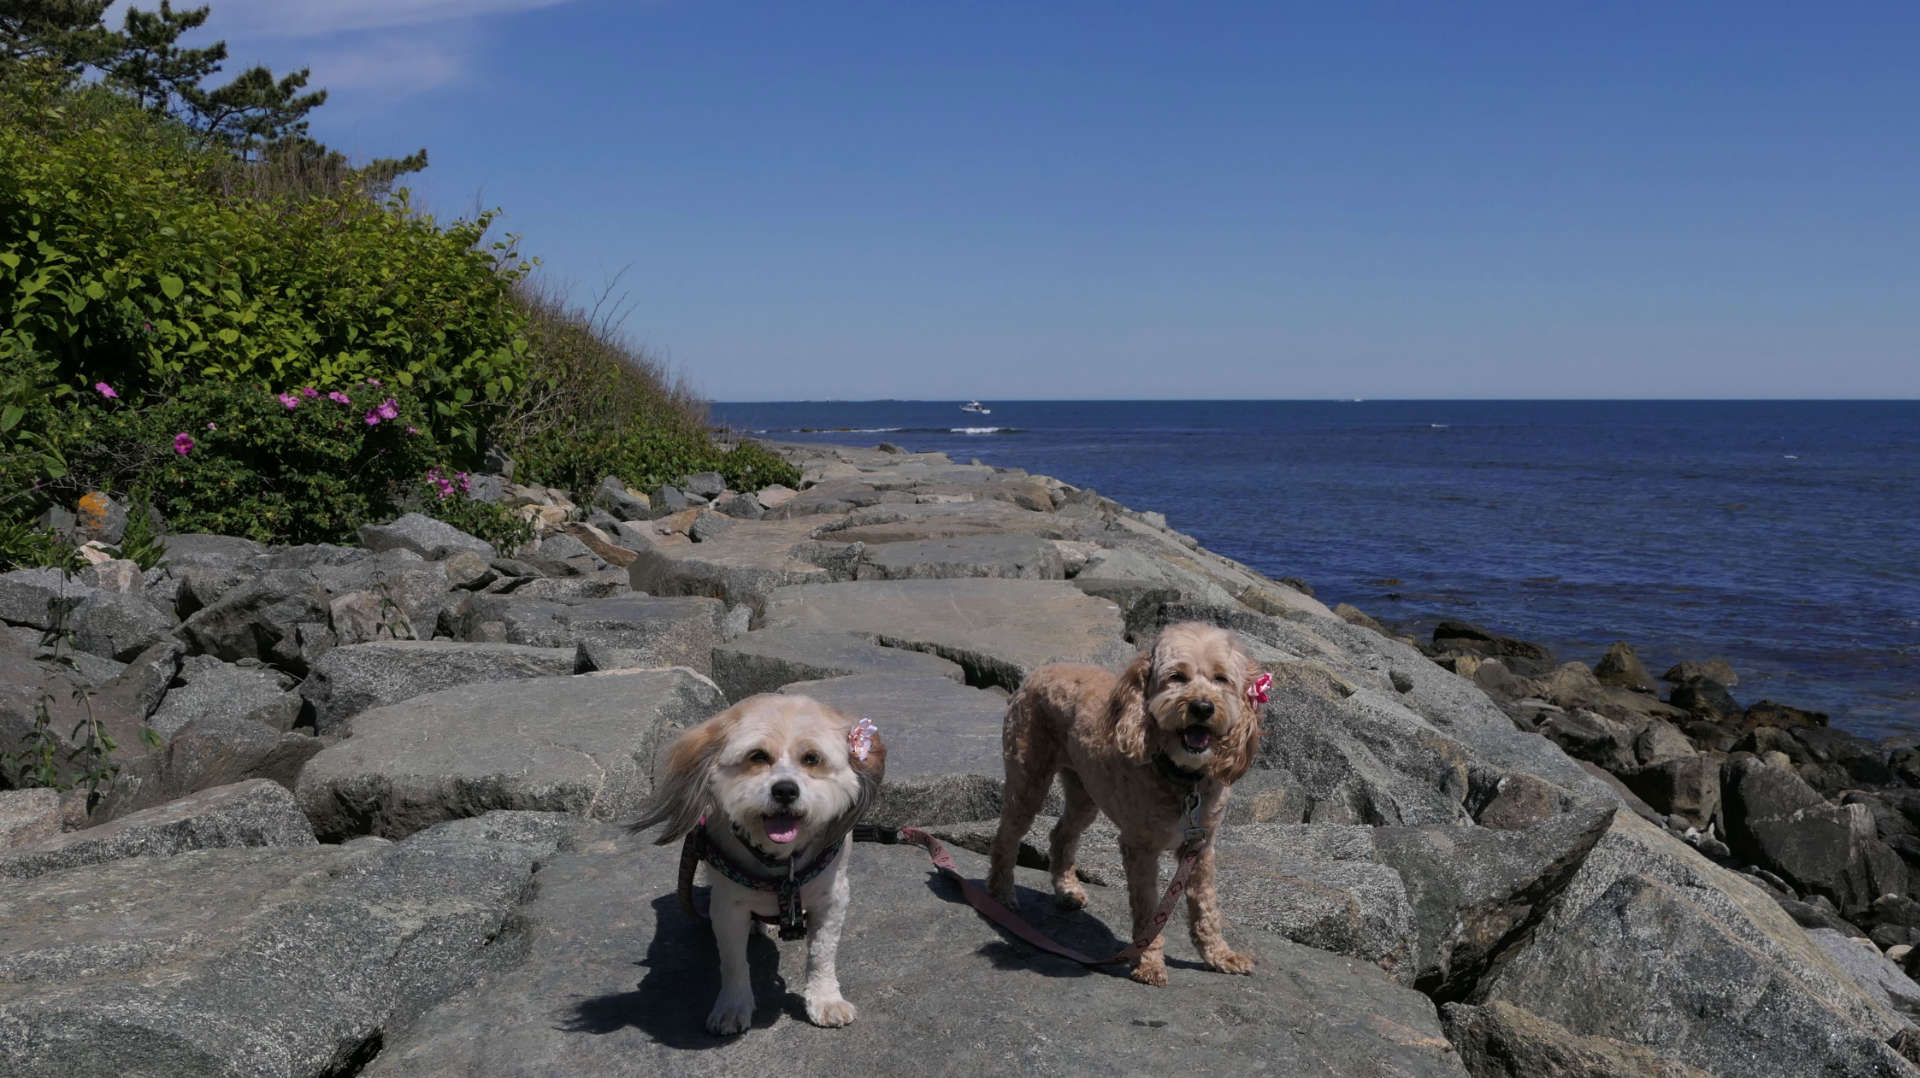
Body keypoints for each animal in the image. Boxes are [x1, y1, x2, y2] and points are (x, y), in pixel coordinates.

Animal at [641, 691, 887, 1029]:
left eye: (812, 758)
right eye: (757, 756)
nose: (785, 790)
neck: (783, 864)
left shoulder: (833, 898)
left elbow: (822, 954)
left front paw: (825, 999)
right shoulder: (728, 907)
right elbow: (733, 961)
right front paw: (732, 1006)